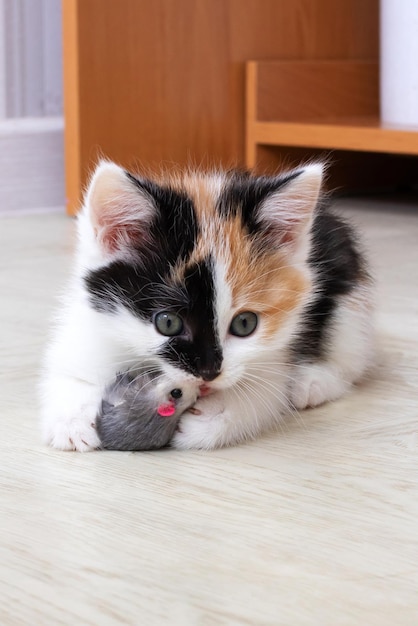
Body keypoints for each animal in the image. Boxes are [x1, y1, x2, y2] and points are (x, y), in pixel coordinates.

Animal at [40, 161, 376, 448]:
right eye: (167, 322)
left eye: (245, 324)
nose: (208, 374)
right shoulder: (91, 319)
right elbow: (70, 371)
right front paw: (73, 420)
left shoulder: (275, 351)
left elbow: (264, 391)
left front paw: (214, 418)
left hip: (347, 297)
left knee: (350, 356)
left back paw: (313, 382)